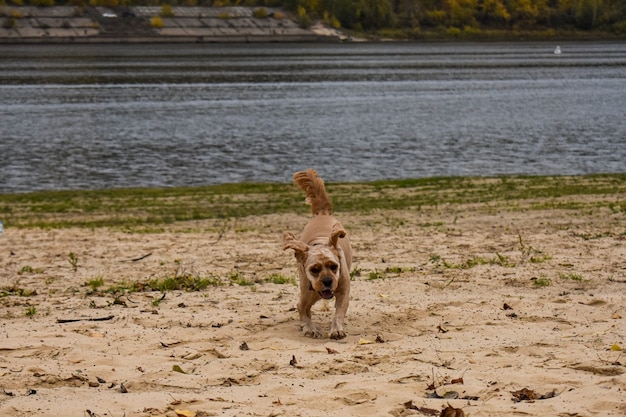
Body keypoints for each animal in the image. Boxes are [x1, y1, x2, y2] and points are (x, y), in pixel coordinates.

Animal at [282, 169, 352, 338]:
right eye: (314, 269)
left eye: (334, 266)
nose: (327, 281)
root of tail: (322, 214)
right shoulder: (308, 293)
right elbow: (302, 308)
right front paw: (309, 328)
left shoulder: (343, 291)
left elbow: (339, 312)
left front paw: (337, 329)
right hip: (309, 292)